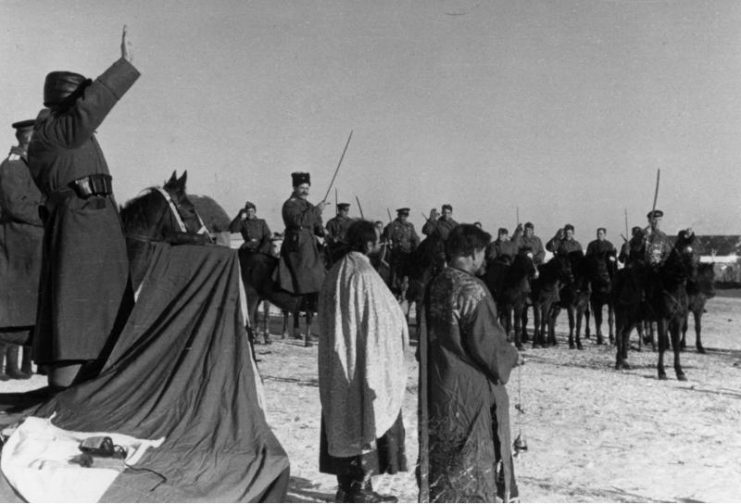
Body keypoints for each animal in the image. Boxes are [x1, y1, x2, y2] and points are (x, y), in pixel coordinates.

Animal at [612, 230, 700, 380]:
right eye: (683, 252)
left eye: (695, 251)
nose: (694, 275)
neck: (671, 285)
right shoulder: (662, 318)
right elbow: (662, 344)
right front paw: (662, 371)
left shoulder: (678, 319)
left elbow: (676, 345)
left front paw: (680, 372)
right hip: (621, 314)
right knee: (619, 334)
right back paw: (618, 363)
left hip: (634, 317)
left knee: (625, 334)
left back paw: (625, 362)